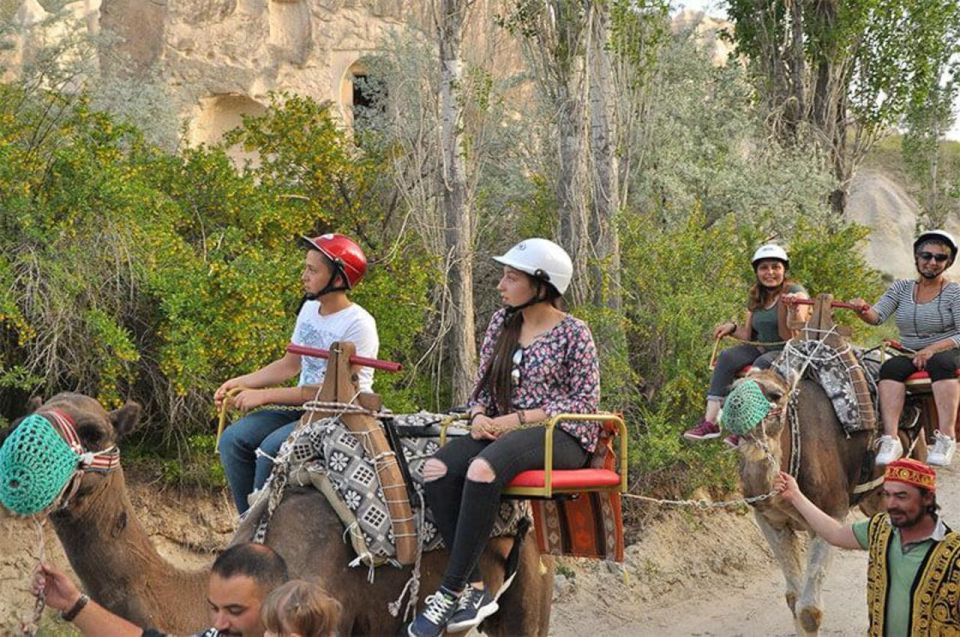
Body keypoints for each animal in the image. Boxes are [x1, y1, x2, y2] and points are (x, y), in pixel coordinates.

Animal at [740, 368, 880, 636]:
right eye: (732, 391)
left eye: (775, 395)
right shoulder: (770, 519)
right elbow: (794, 599)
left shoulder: (833, 512)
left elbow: (809, 611)